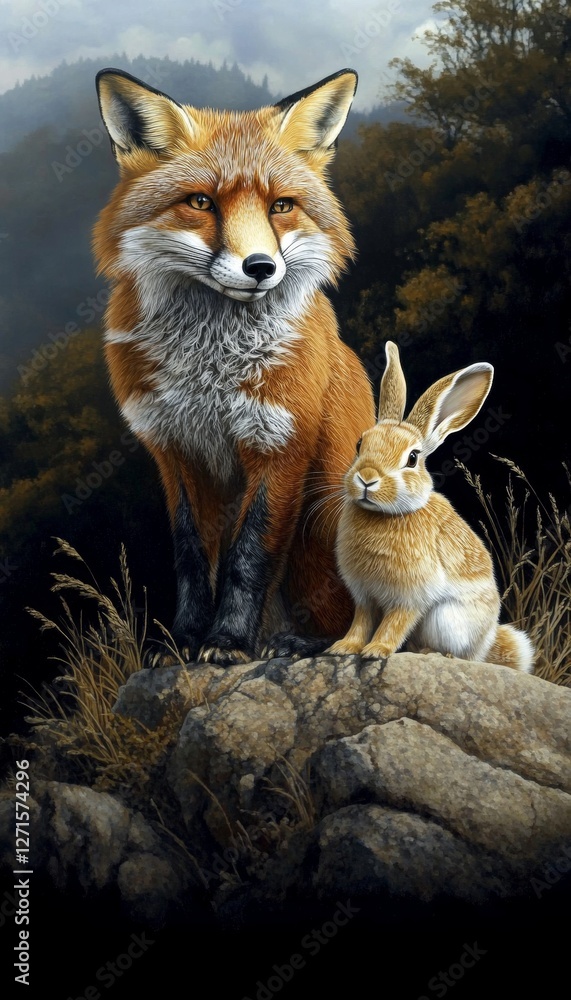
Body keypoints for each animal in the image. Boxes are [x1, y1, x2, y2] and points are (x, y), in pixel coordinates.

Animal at [93, 67, 375, 667]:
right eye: (201, 202)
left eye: (281, 206)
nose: (261, 267)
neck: (212, 367)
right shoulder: (174, 450)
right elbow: (192, 557)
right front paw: (183, 640)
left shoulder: (282, 441)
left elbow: (250, 554)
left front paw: (227, 642)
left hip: (325, 517)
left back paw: (297, 642)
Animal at [326, 341, 534, 672]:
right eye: (360, 444)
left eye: (412, 458)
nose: (367, 478)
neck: (386, 515)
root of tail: (486, 642)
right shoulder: (364, 595)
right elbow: (361, 622)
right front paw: (343, 647)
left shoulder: (411, 597)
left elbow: (393, 624)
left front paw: (376, 651)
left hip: (446, 619)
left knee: (459, 653)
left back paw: (432, 653)